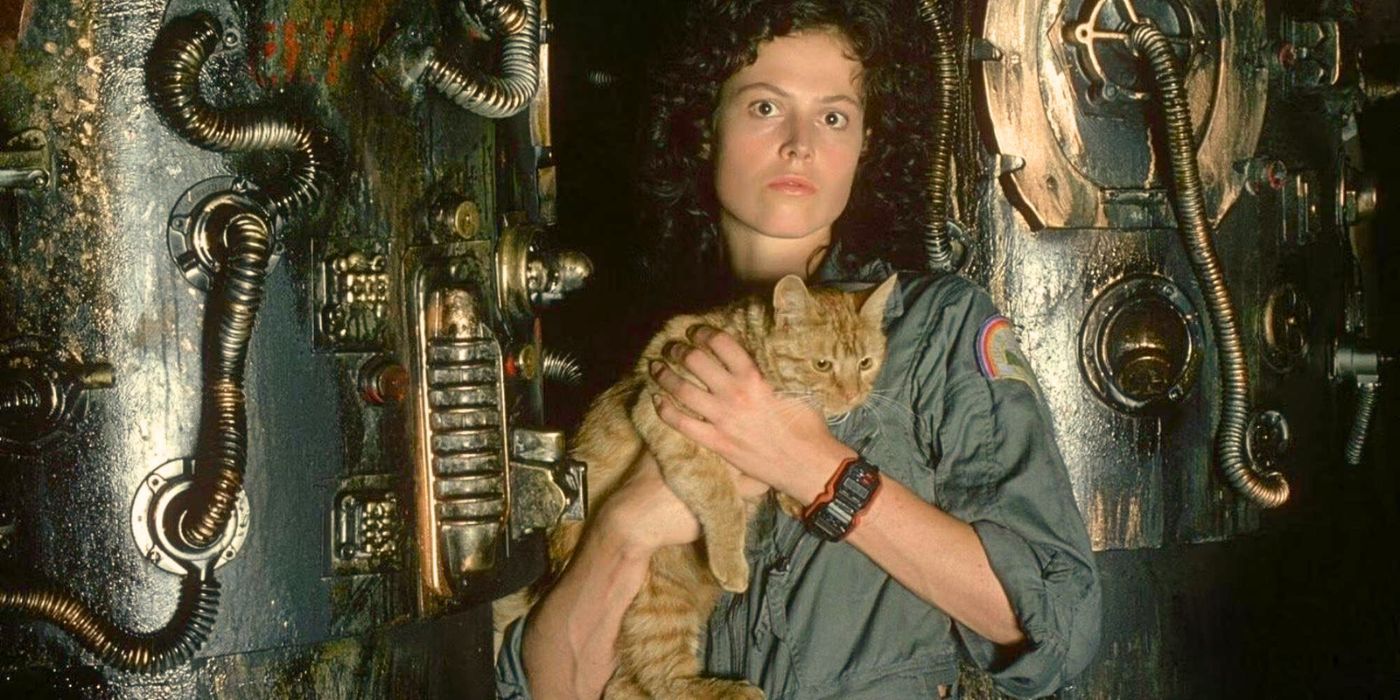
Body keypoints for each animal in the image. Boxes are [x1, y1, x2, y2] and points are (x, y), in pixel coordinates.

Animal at [509, 274, 890, 700]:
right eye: (822, 365)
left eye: (866, 363)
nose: (853, 395)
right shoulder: (663, 413)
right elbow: (721, 496)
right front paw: (731, 561)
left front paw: (794, 496)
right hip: (659, 604)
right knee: (665, 680)